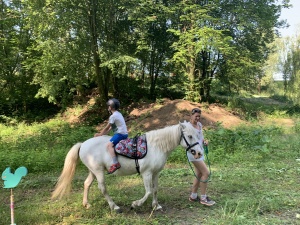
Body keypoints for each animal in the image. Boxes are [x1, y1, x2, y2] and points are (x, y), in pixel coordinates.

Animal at [51, 121, 204, 211]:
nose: (198, 153)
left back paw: (86, 203)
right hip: (98, 171)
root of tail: (82, 144)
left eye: (198, 135)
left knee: (86, 184)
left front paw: (156, 206)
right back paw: (114, 206)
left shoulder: (155, 173)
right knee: (103, 188)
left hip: (92, 171)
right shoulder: (146, 173)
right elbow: (148, 191)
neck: (156, 146)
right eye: (190, 136)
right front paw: (136, 204)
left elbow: (155, 190)